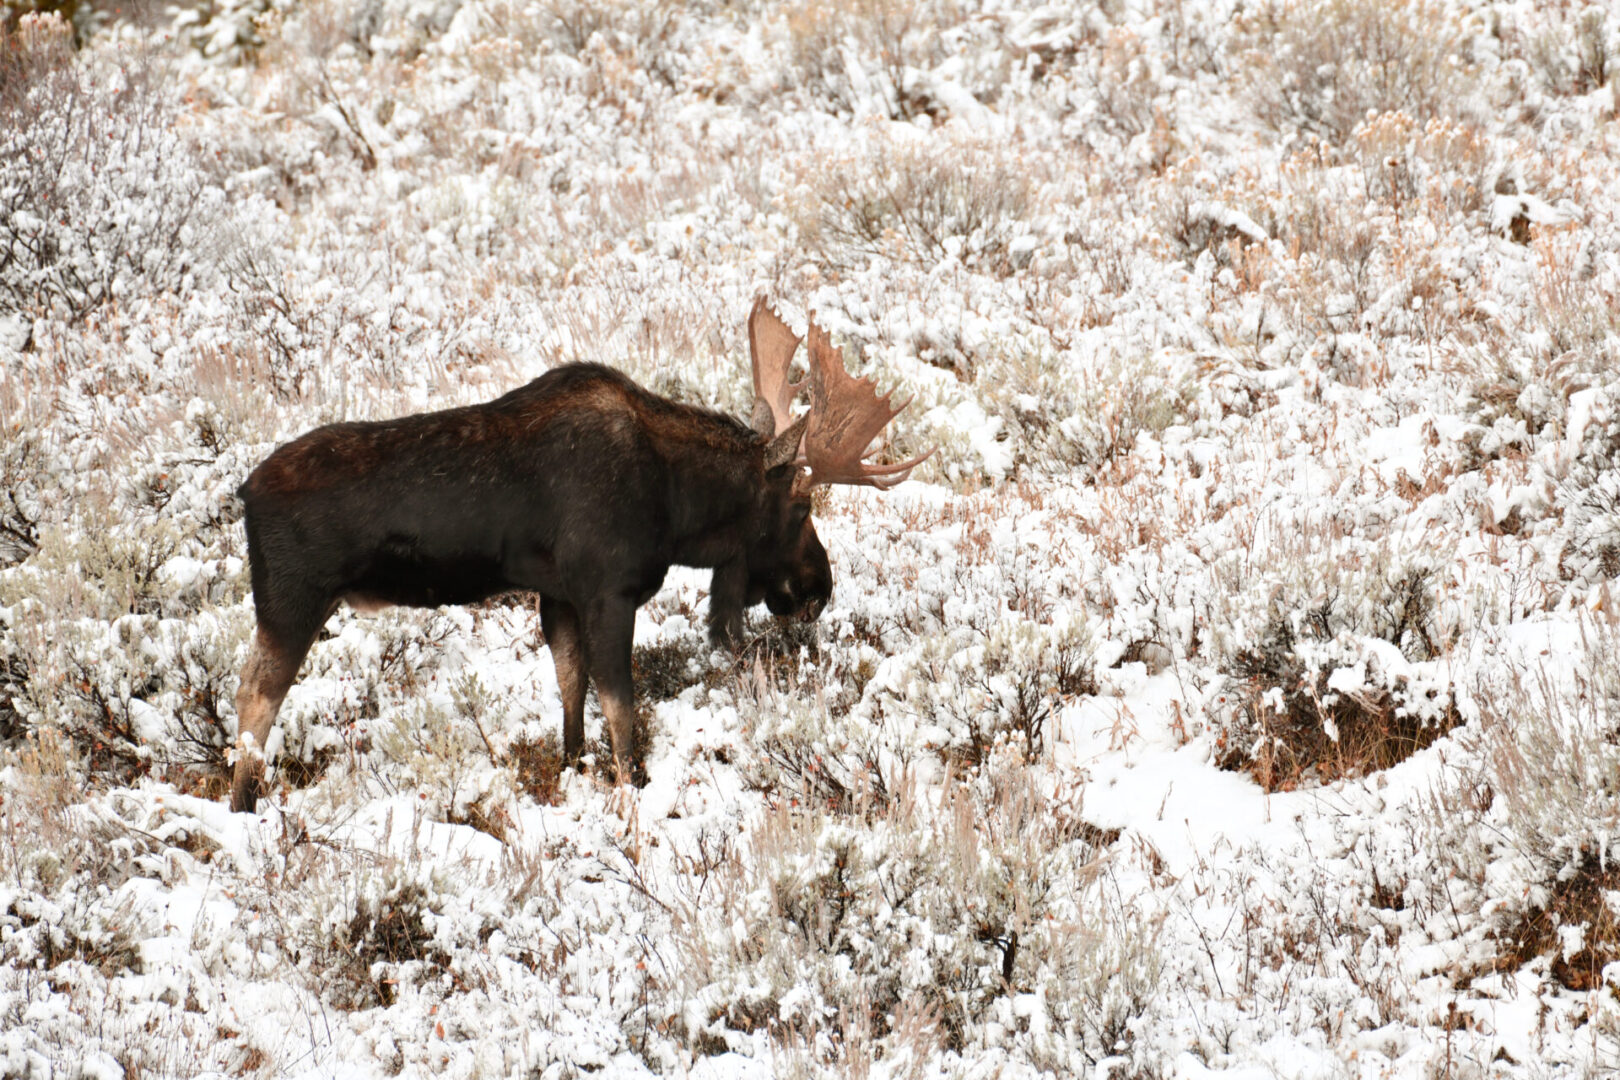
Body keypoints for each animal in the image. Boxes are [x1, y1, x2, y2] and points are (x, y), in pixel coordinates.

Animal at [230, 299, 939, 816]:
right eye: (800, 507)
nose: (819, 588)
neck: (678, 506)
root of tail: (243, 492)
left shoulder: (558, 594)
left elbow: (571, 692)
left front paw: (572, 771)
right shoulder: (609, 592)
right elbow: (622, 709)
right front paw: (633, 790)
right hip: (292, 601)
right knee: (252, 702)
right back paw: (242, 812)